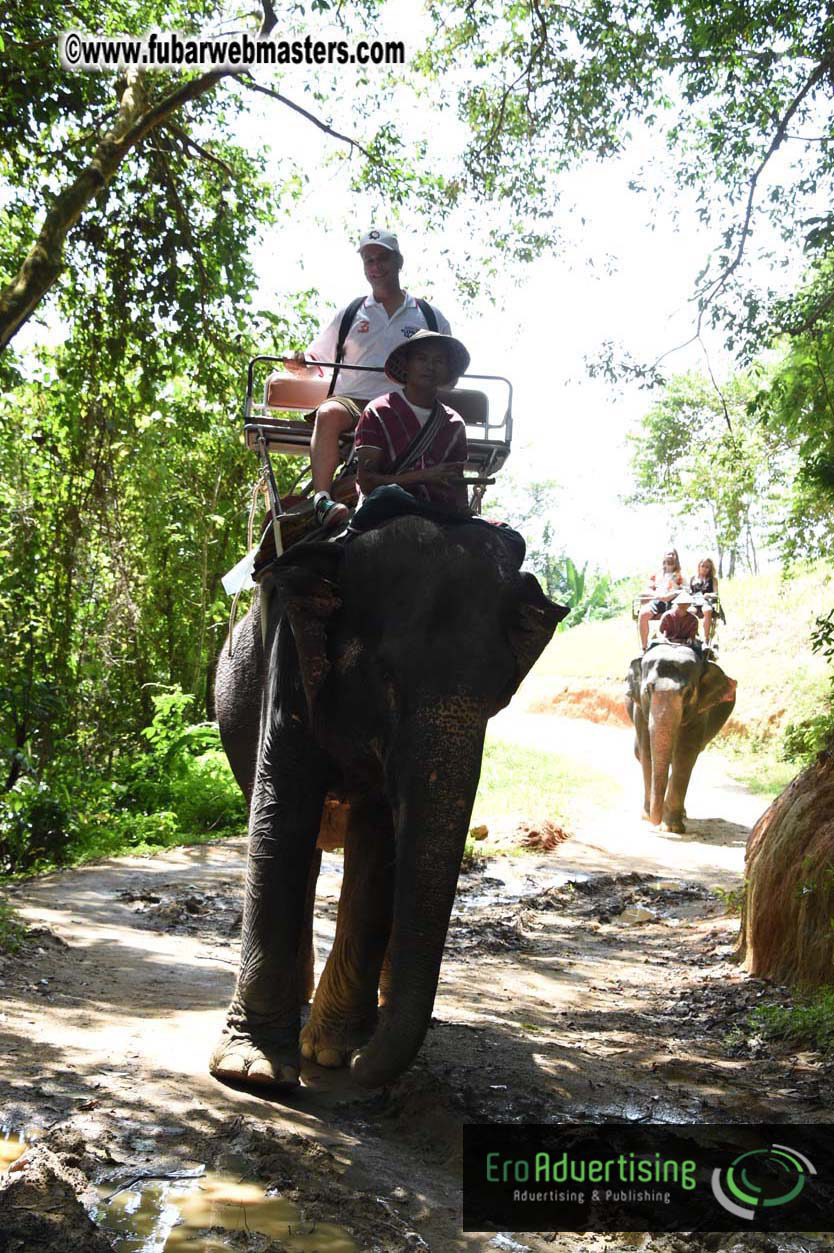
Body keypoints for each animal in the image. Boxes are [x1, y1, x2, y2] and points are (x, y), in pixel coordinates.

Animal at [209, 514, 565, 1090]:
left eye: (499, 694)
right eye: (384, 678)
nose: (362, 1064)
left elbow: (379, 842)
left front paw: (334, 1052)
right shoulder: (288, 652)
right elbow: (282, 812)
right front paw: (254, 1070)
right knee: (304, 848)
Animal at [625, 642, 737, 833]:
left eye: (688, 693)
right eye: (647, 689)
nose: (655, 823)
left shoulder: (700, 710)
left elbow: (685, 755)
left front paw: (671, 828)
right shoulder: (639, 709)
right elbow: (647, 750)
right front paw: (647, 816)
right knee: (638, 752)